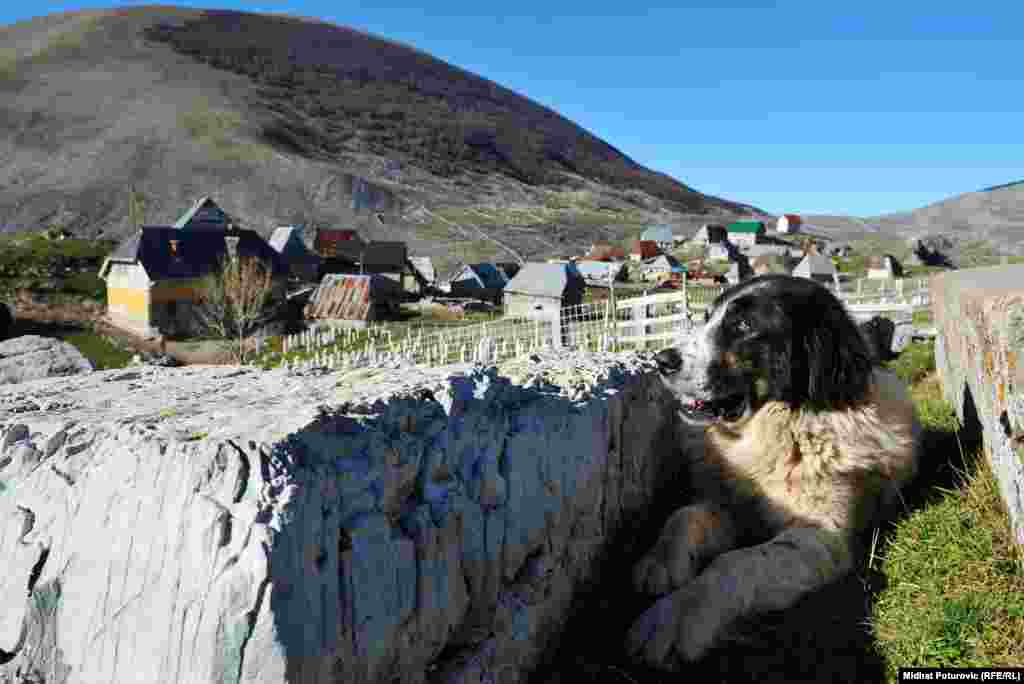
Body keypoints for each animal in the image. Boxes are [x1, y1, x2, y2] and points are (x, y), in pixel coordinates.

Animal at [622, 272, 921, 667]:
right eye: (707, 317)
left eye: (744, 326)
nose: (662, 360)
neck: (780, 431)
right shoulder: (731, 506)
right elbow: (685, 514)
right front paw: (661, 561)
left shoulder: (820, 537)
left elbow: (736, 562)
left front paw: (675, 616)